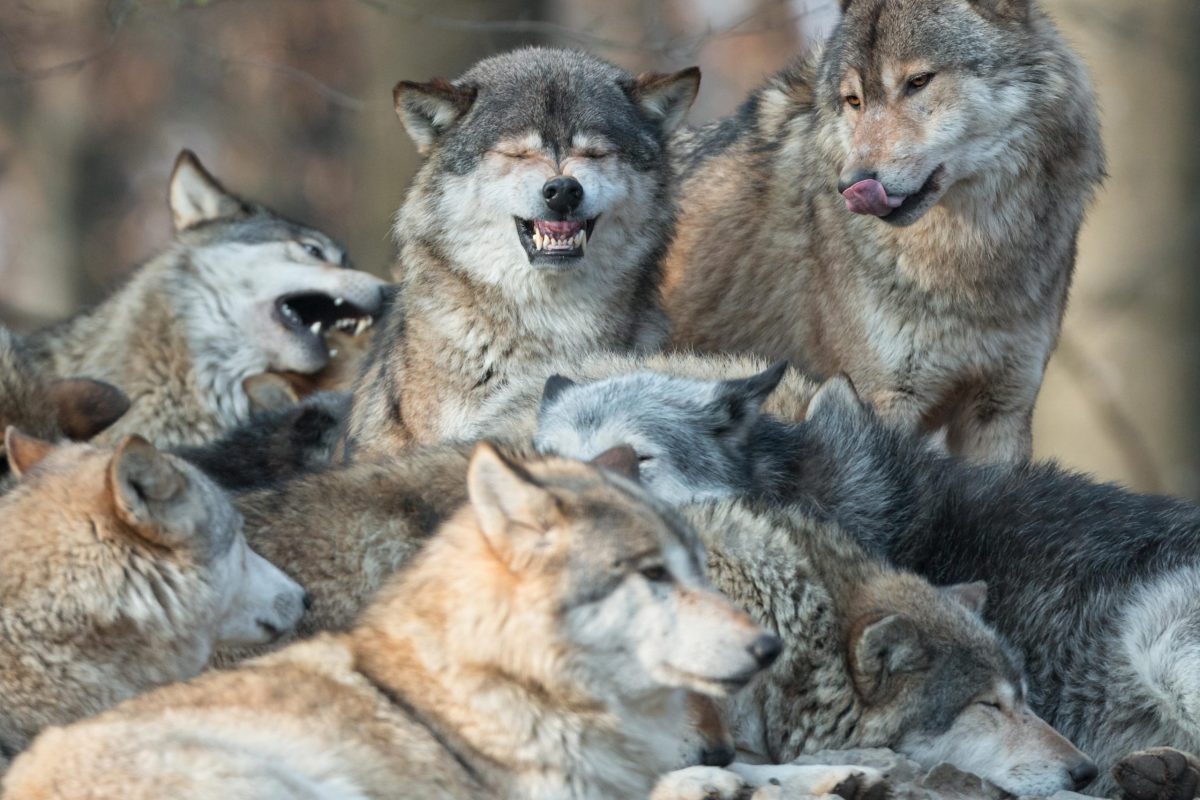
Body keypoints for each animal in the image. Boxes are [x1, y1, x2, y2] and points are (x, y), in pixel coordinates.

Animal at [661, 0, 1105, 464]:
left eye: (918, 82)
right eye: (853, 100)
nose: (852, 185)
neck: (968, 261)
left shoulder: (1002, 407)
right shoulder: (882, 398)